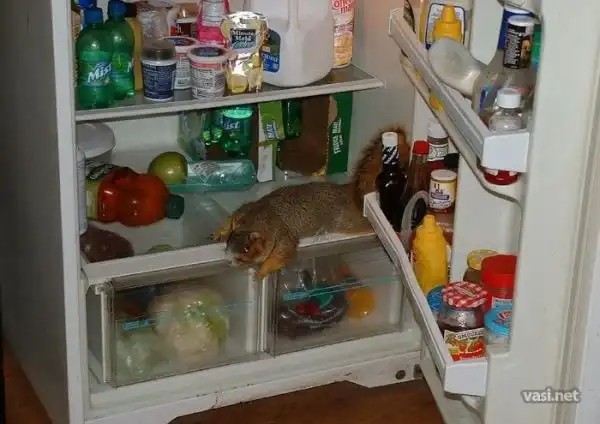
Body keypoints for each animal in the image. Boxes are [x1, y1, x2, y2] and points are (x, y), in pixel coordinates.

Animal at [211, 126, 409, 280]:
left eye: (246, 250)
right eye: (230, 239)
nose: (229, 260)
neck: (258, 219)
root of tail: (351, 192)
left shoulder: (282, 237)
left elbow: (283, 254)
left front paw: (262, 271)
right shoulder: (246, 210)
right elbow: (232, 217)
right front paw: (219, 231)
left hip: (353, 221)